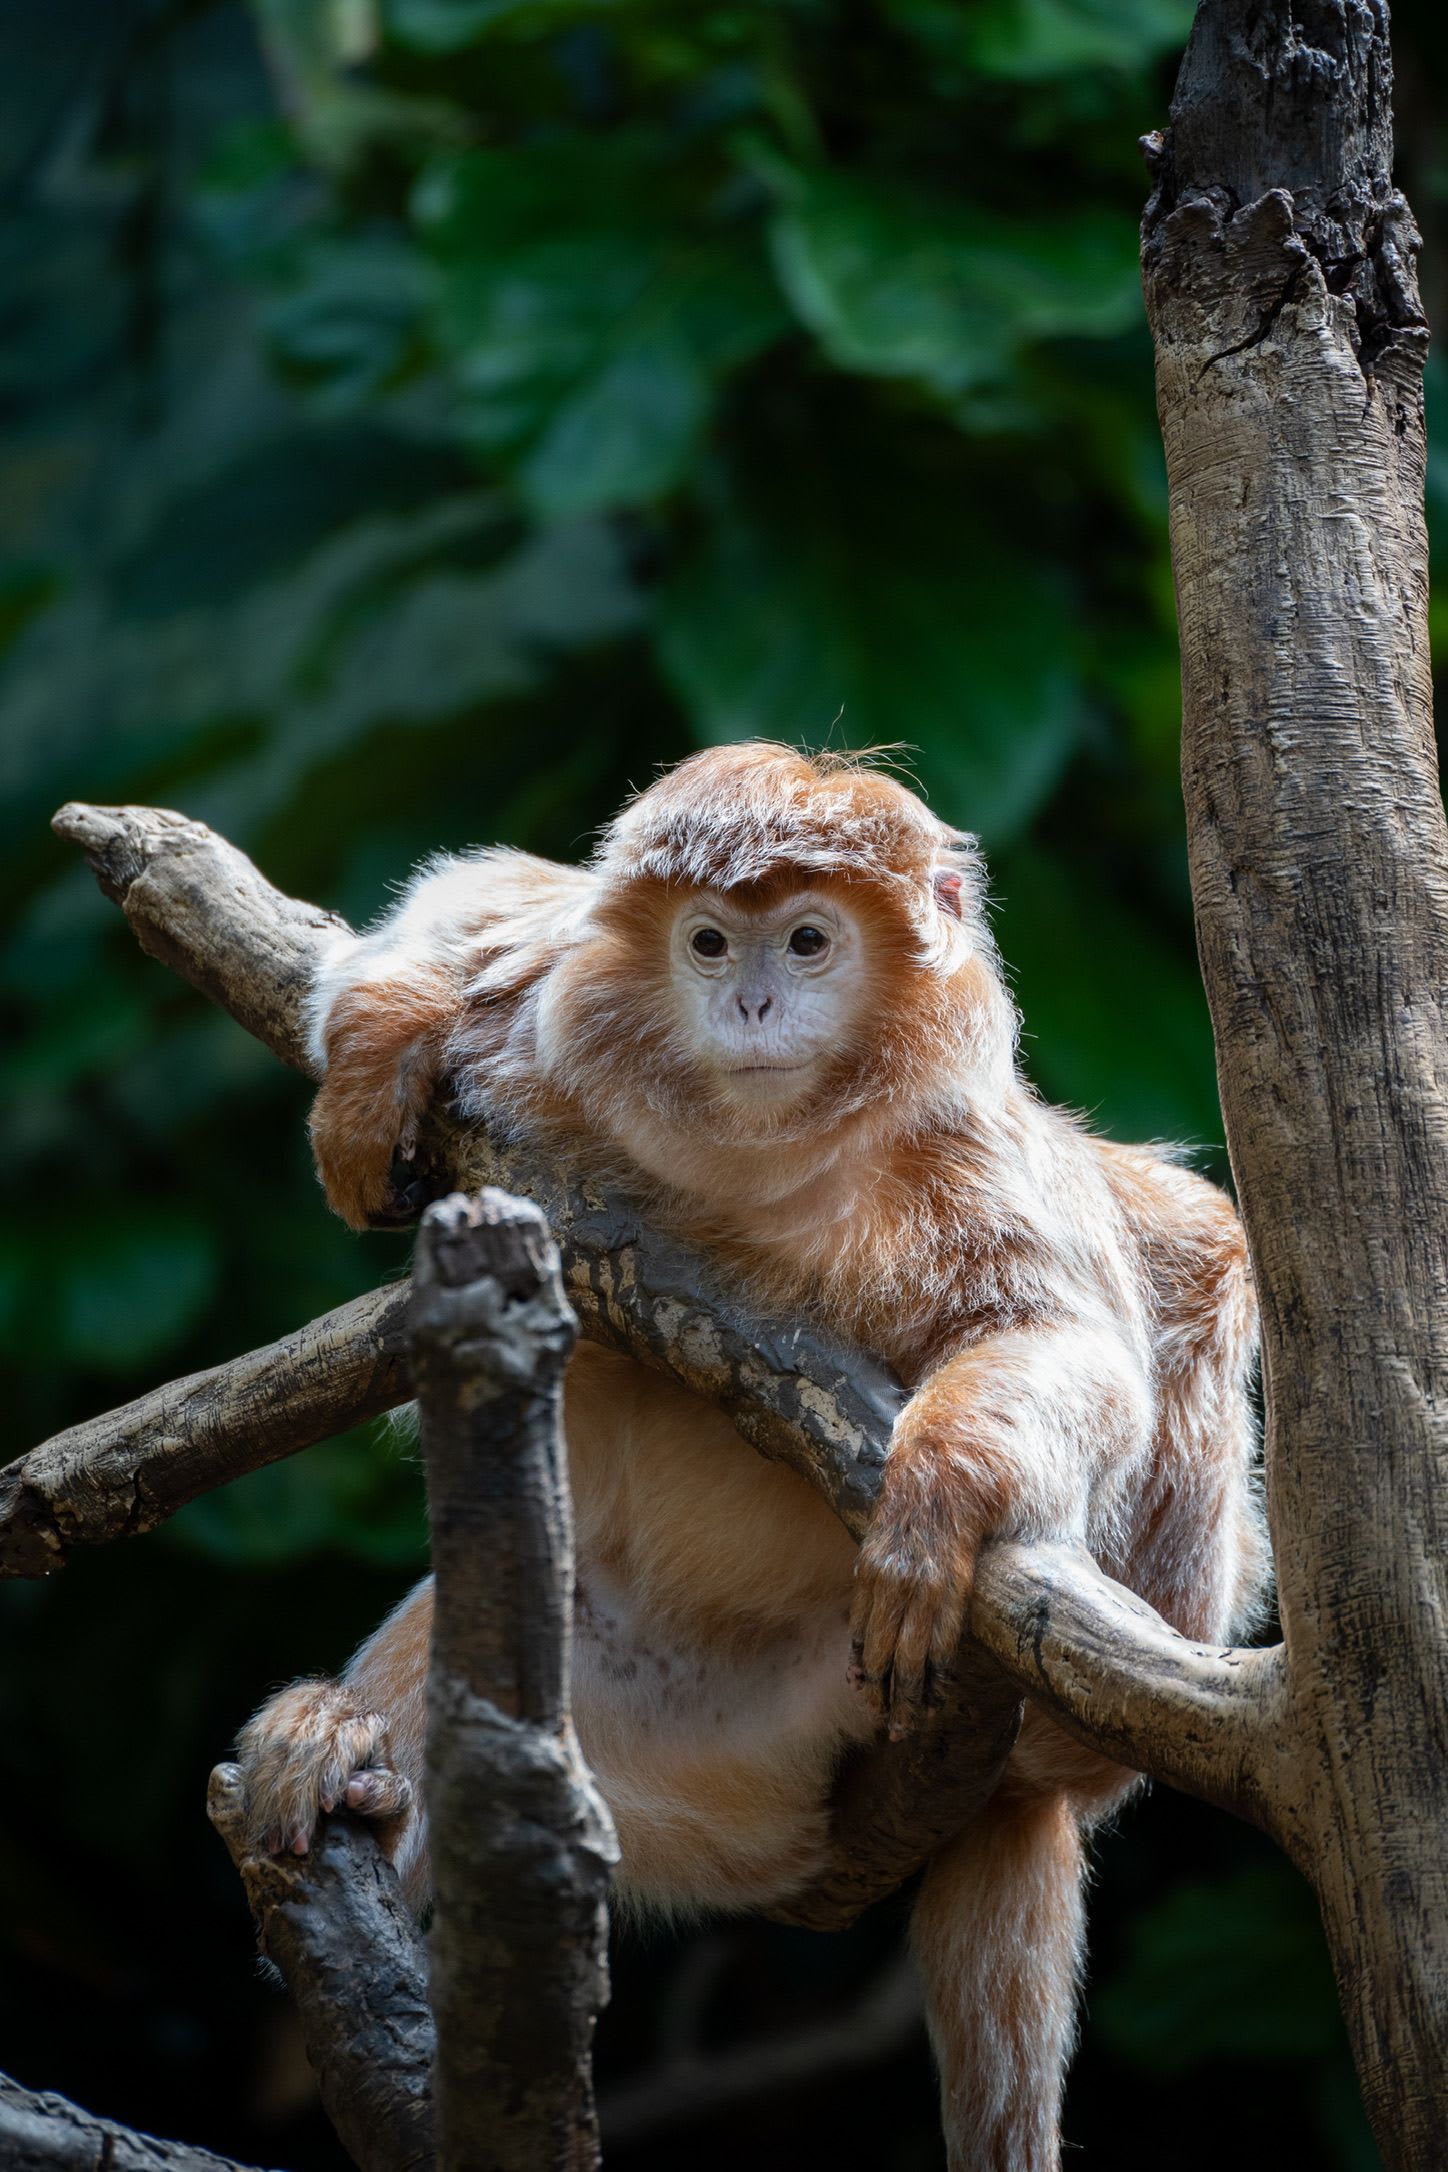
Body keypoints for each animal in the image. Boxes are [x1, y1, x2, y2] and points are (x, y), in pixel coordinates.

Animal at [235, 743, 1265, 2171]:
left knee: (1193, 1235)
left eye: (811, 941)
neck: (758, 1164)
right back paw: (345, 1758)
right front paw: (375, 1057)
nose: (757, 1000)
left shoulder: (971, 1156)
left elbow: (1064, 1345)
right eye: (710, 943)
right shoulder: (557, 991)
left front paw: (931, 1500)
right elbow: (485, 898)